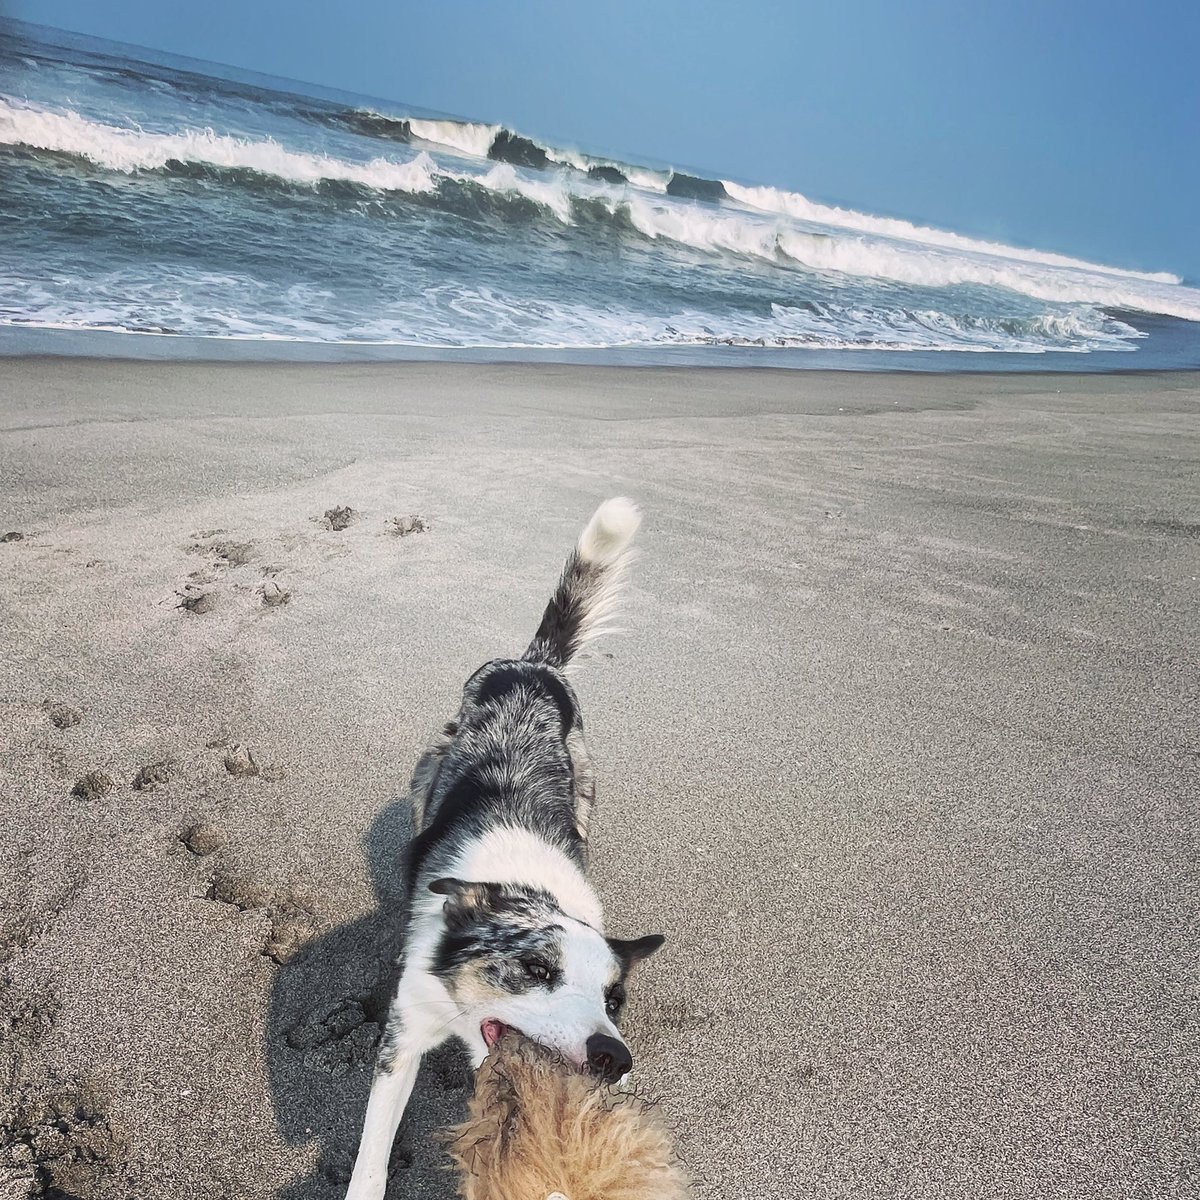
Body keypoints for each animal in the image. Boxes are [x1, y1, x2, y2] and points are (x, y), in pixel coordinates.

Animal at [345, 496, 667, 1200]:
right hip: (426, 771)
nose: (614, 1057)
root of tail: (535, 664)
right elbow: (372, 1150)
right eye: (537, 971)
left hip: (586, 782)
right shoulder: (404, 1030)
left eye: (614, 1000)